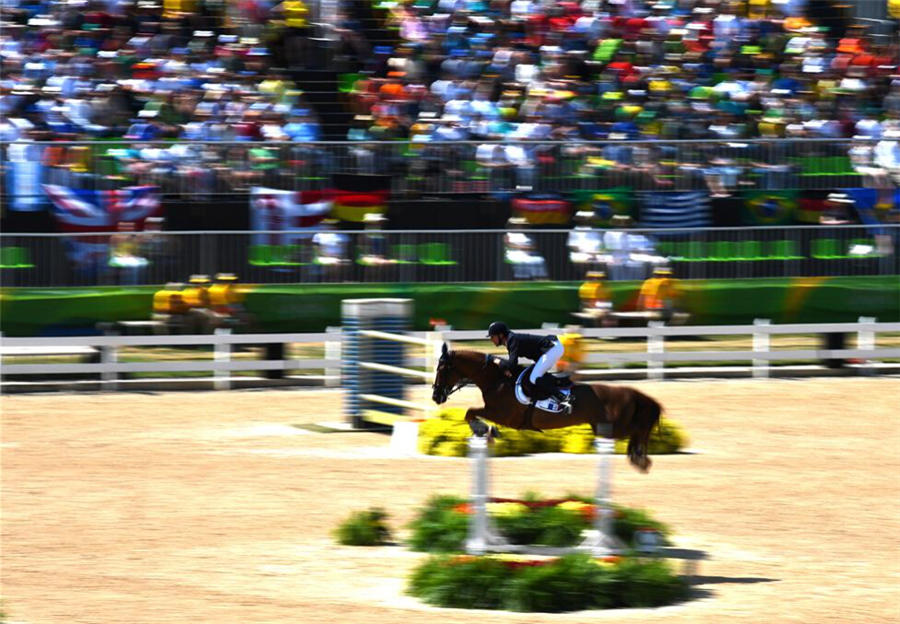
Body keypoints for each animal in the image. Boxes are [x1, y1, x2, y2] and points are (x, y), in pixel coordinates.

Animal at [431, 344, 662, 472]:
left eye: (442, 369)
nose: (435, 396)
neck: (495, 379)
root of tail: (631, 394)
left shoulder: (503, 415)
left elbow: (470, 412)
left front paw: (484, 429)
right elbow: (470, 412)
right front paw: (486, 430)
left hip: (614, 427)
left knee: (640, 430)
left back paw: (640, 457)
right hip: (603, 427)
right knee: (639, 431)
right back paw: (640, 458)